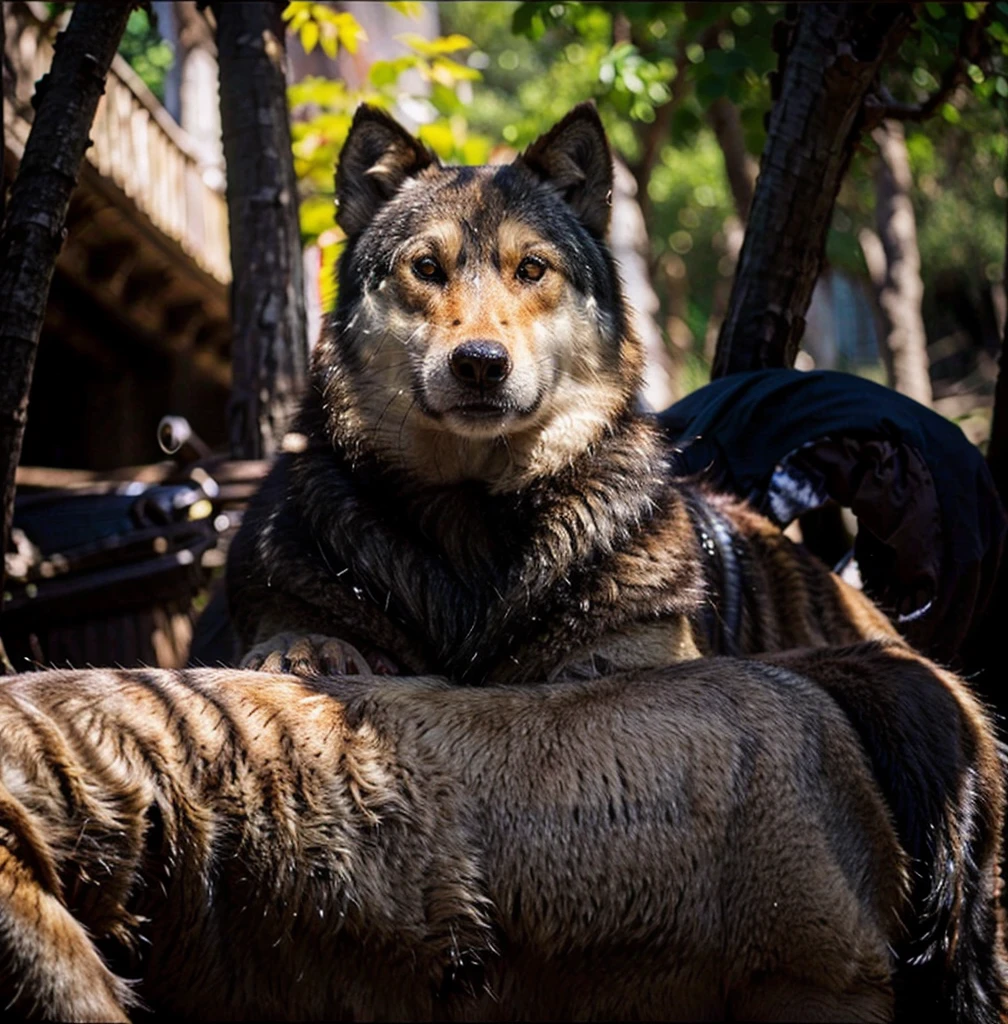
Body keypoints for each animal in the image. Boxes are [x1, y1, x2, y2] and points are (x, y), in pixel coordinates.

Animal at [226, 103, 897, 684]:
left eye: (532, 269)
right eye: (426, 268)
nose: (479, 364)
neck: (474, 510)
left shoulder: (650, 644)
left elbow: (600, 662)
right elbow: (303, 635)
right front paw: (310, 651)